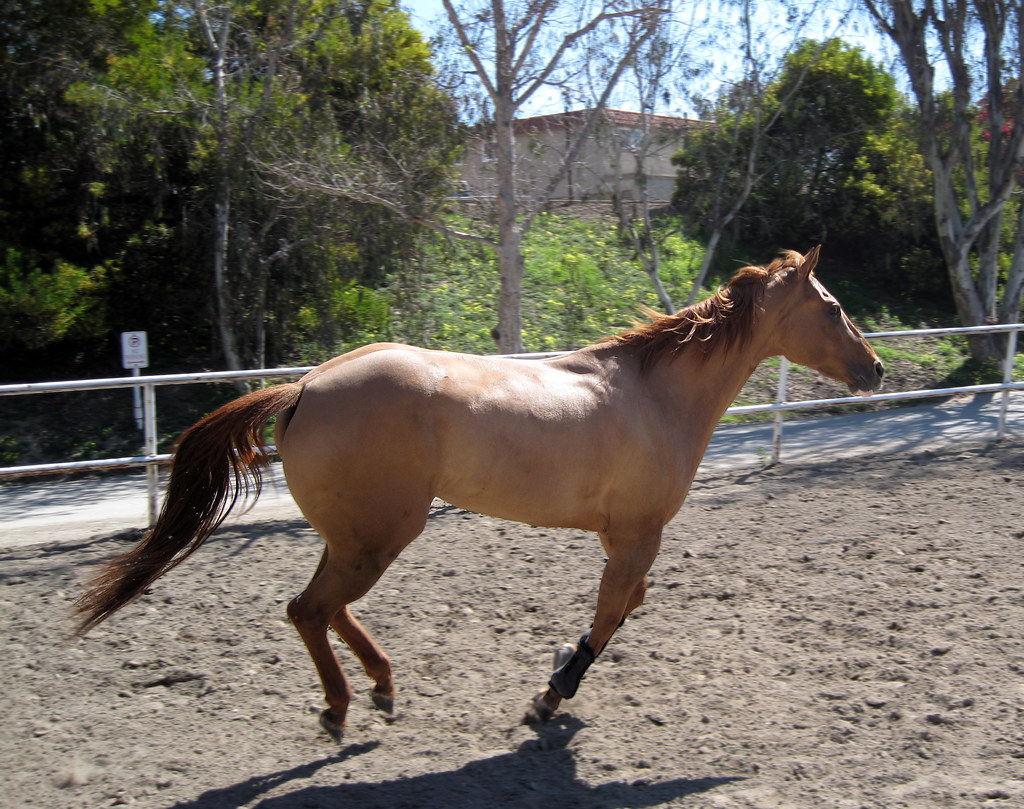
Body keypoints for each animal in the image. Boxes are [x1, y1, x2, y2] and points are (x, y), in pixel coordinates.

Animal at [75, 246, 884, 742]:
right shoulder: (636, 535)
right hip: (378, 538)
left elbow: (628, 606)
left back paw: (381, 686)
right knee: (311, 609)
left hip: (356, 537)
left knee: (323, 609)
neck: (656, 396)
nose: (875, 368)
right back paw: (343, 707)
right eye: (834, 306)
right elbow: (613, 611)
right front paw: (550, 694)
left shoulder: (622, 536)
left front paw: (559, 664)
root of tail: (304, 387)